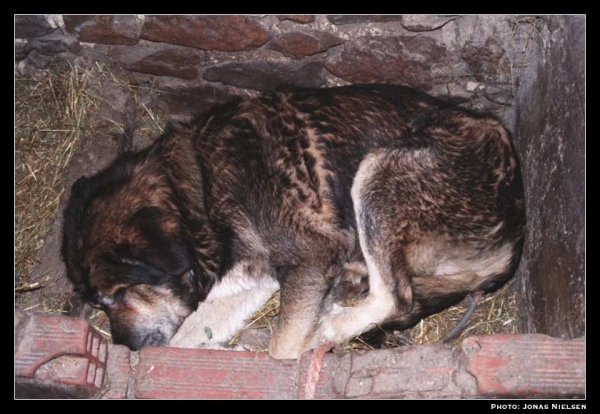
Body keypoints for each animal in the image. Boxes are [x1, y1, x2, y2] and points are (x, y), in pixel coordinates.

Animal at [61, 85, 524, 360]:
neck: (198, 188)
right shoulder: (252, 279)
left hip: (378, 173)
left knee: (396, 297)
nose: (125, 348)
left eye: (118, 294)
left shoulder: (311, 257)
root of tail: (515, 234)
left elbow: (281, 349)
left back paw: (334, 325)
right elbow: (188, 336)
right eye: (98, 303)